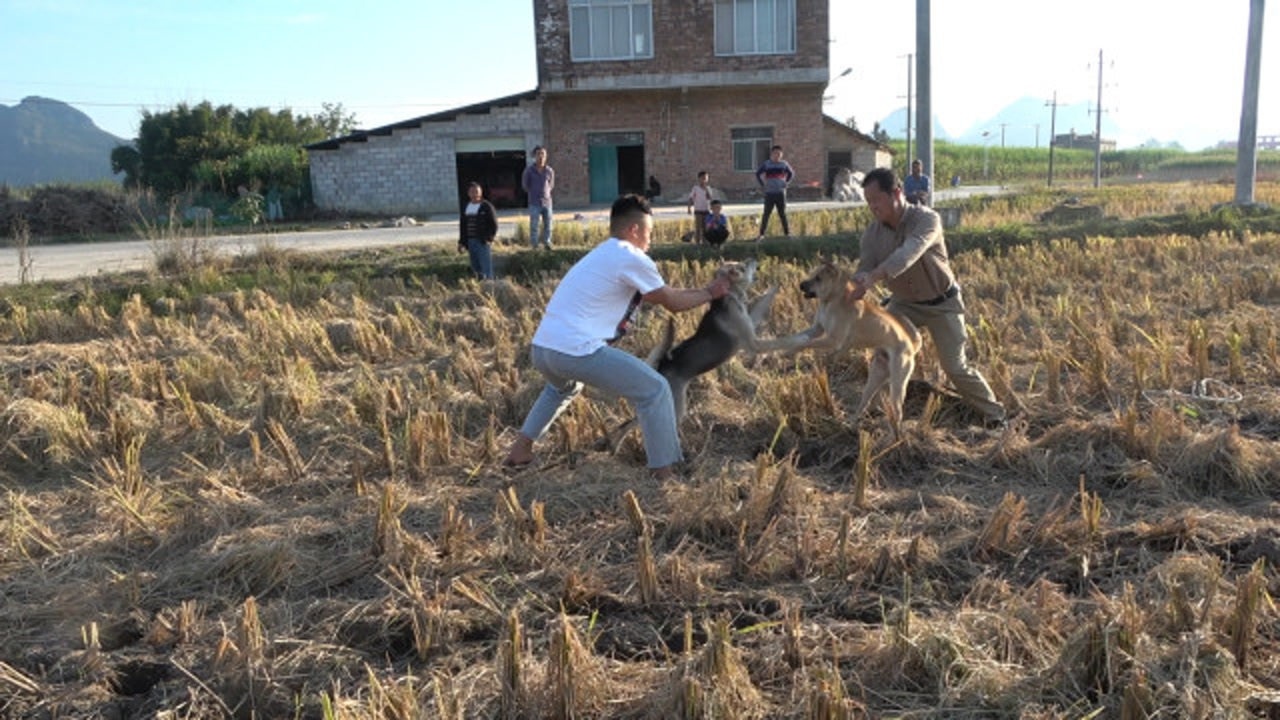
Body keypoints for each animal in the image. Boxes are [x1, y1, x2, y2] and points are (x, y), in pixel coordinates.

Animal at [752, 258, 926, 435]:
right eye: (812, 274)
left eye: (818, 279)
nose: (801, 285)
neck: (832, 300)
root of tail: (911, 344)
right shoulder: (817, 329)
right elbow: (796, 340)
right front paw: (782, 352)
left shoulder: (833, 339)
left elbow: (806, 342)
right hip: (875, 375)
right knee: (864, 402)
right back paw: (851, 424)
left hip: (898, 383)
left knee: (897, 412)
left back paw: (894, 437)